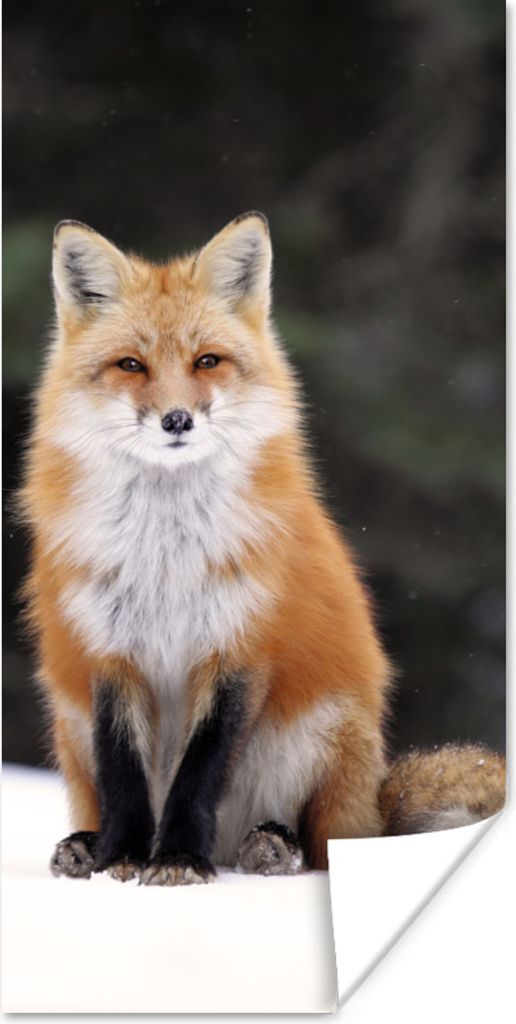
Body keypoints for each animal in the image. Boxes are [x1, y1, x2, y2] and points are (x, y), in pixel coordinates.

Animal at [20, 213, 504, 885]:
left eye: (207, 361)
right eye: (131, 365)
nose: (177, 420)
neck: (166, 557)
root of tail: (371, 799)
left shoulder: (238, 648)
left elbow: (200, 773)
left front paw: (177, 860)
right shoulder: (109, 652)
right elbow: (124, 777)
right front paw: (122, 858)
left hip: (319, 735)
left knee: (322, 847)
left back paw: (272, 847)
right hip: (71, 725)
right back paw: (84, 846)